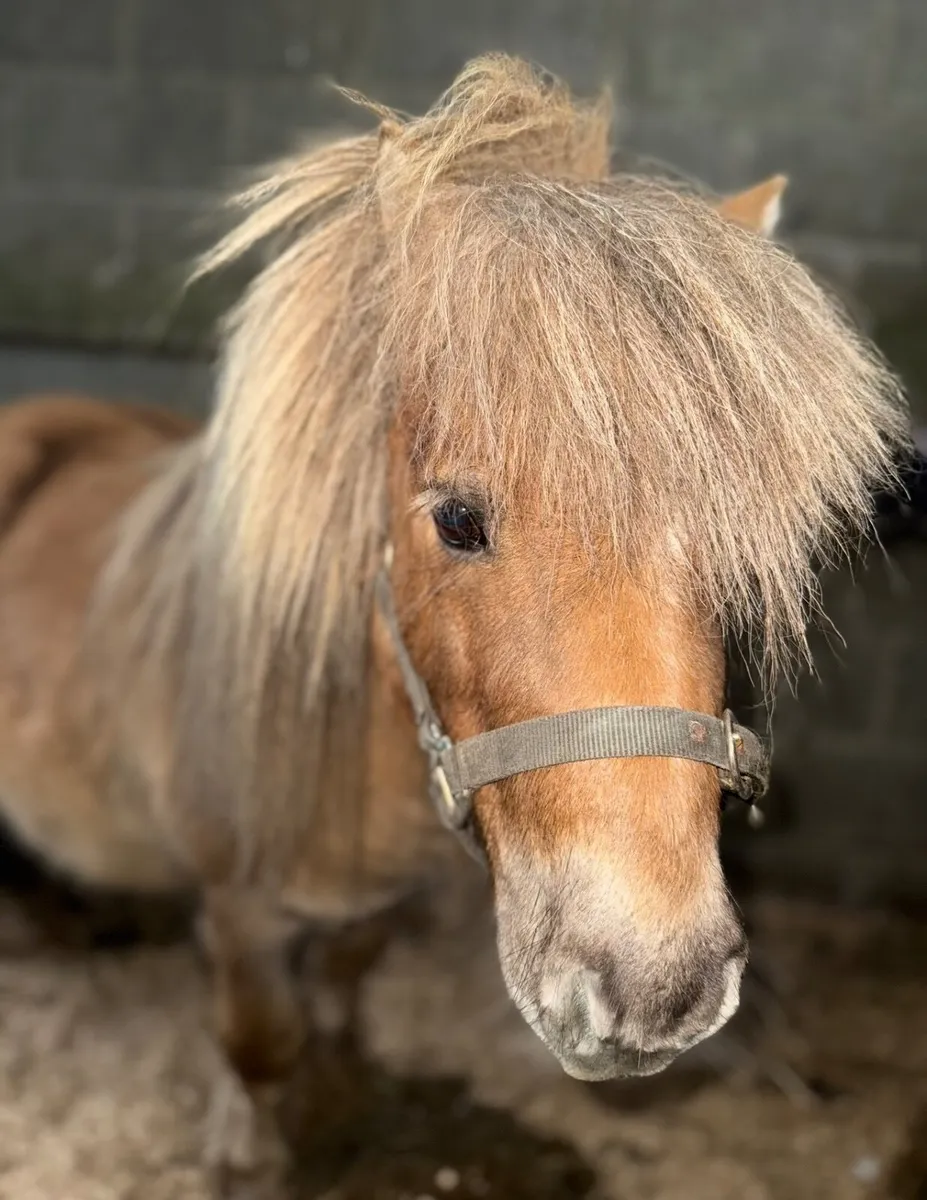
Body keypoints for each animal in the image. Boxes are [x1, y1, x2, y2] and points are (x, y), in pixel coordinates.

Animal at [0, 54, 906, 1190]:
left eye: (740, 542)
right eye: (457, 520)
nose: (653, 987)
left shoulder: (366, 910)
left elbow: (339, 993)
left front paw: (340, 1093)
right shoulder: (238, 908)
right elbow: (262, 1044)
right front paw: (254, 1147)